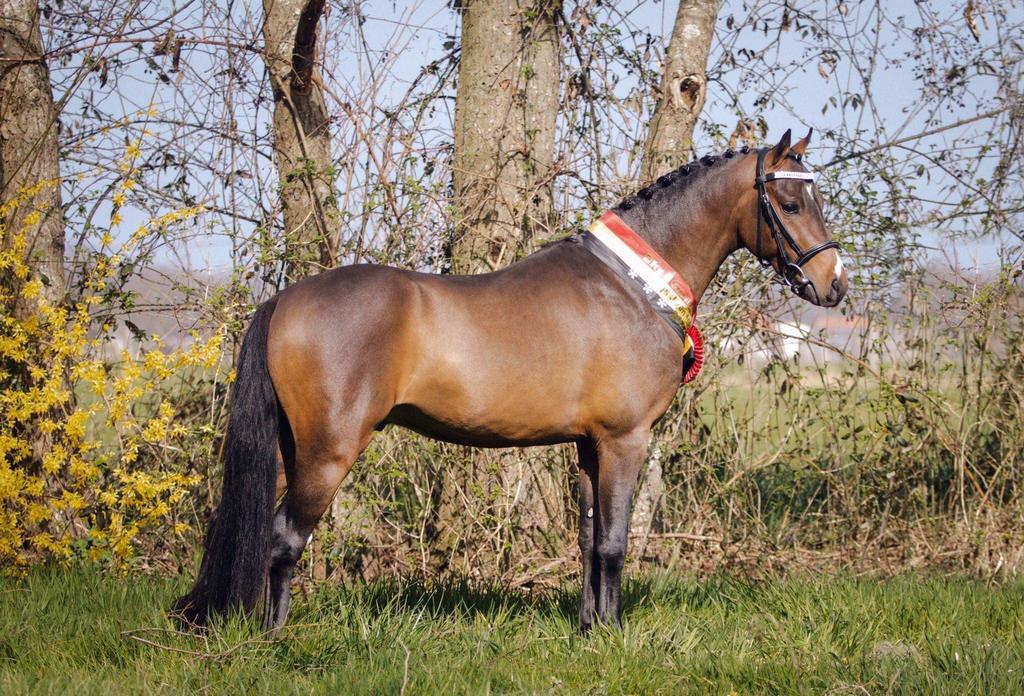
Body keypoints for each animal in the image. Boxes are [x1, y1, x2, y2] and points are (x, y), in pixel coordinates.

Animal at [174, 128, 848, 634]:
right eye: (790, 205)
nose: (833, 284)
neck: (632, 286)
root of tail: (284, 300)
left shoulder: (588, 447)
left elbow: (588, 540)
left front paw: (589, 628)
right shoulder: (624, 440)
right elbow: (614, 543)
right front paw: (614, 634)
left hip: (290, 448)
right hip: (327, 453)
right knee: (284, 539)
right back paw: (273, 637)